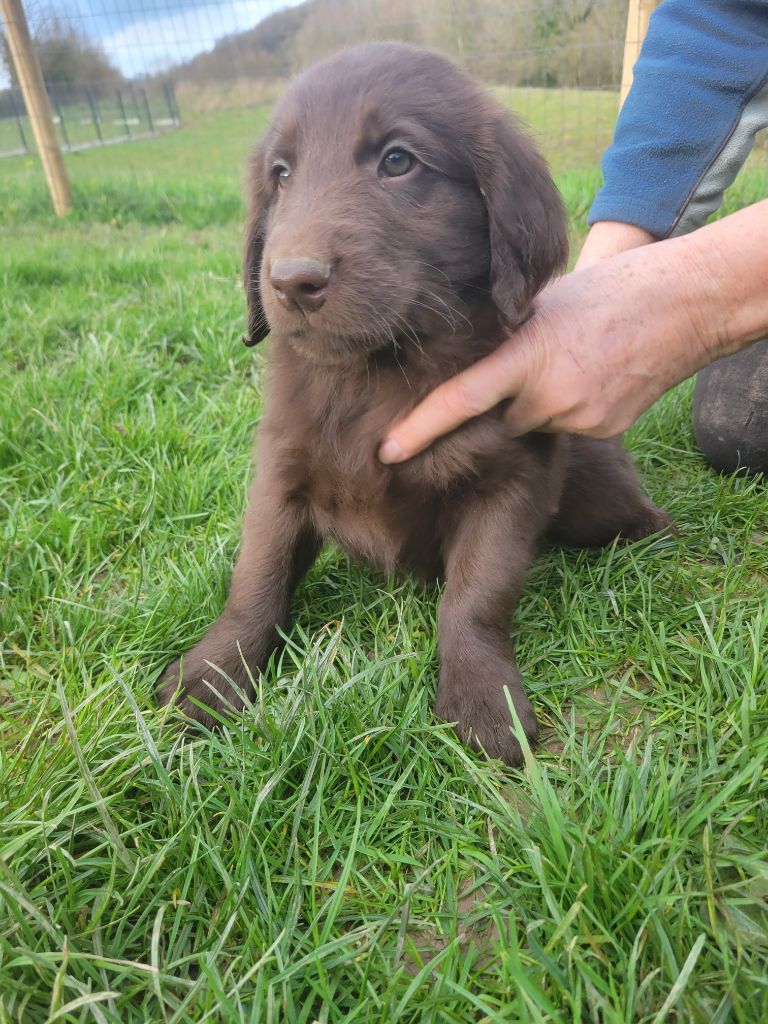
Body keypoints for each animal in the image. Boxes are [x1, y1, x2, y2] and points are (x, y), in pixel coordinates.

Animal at [157, 42, 671, 765]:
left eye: (398, 161)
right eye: (281, 176)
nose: (290, 280)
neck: (374, 375)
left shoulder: (513, 479)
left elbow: (475, 597)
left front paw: (482, 699)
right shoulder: (281, 474)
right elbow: (256, 578)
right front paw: (212, 674)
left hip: (600, 499)